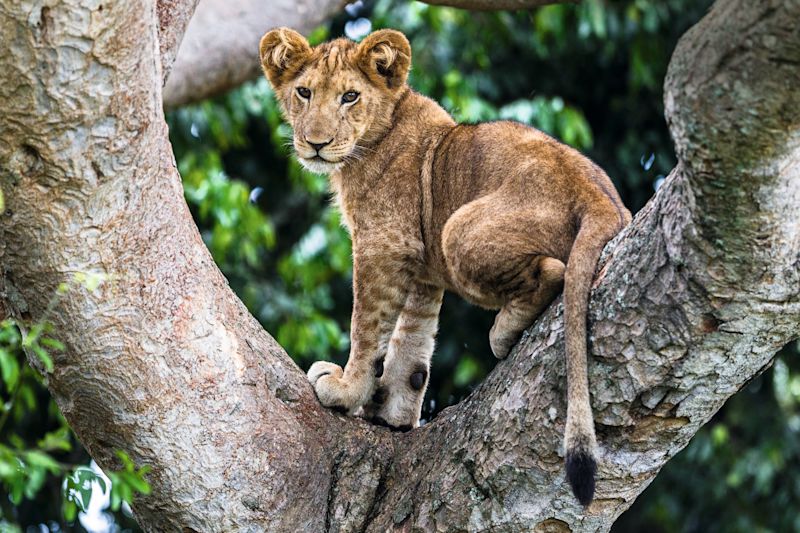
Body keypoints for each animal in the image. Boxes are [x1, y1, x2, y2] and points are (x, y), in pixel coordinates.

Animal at [259, 27, 631, 506]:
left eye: (349, 97)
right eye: (303, 92)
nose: (316, 143)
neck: (376, 136)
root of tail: (598, 196)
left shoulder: (383, 246)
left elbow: (367, 329)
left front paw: (346, 389)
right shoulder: (421, 269)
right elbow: (411, 345)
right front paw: (393, 415)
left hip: (457, 230)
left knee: (553, 272)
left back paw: (504, 332)